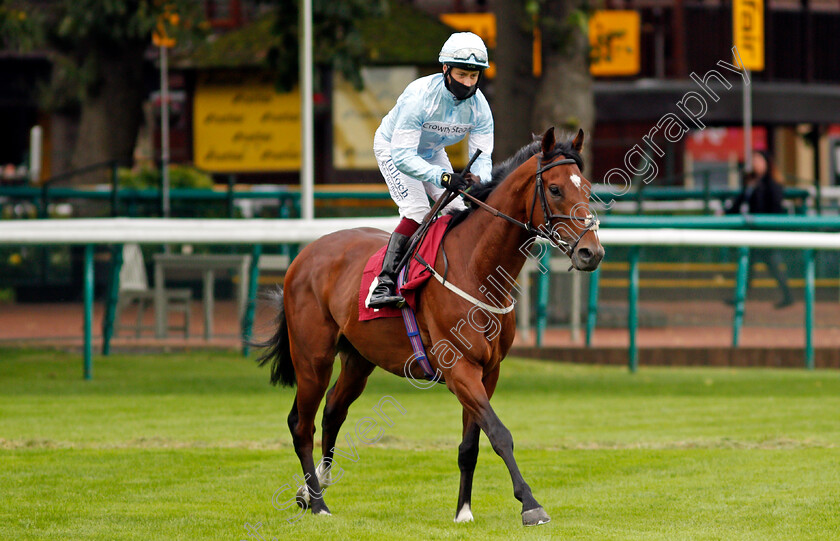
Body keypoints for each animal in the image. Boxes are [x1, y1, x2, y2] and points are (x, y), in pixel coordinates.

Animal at [256, 126, 604, 524]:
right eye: (556, 189)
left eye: (587, 187)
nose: (591, 253)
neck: (477, 267)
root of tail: (303, 256)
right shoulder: (460, 370)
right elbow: (500, 434)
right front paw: (531, 504)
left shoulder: (488, 371)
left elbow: (471, 444)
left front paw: (463, 511)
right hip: (312, 357)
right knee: (302, 424)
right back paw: (318, 503)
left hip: (359, 359)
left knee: (333, 412)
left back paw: (312, 488)